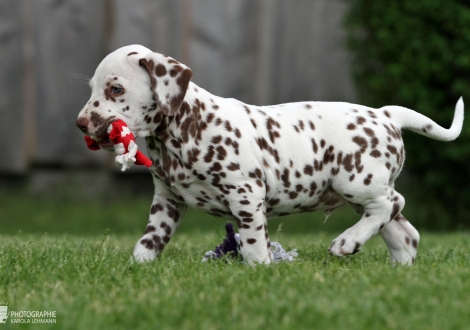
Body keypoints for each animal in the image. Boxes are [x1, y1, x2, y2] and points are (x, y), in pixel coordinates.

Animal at [76, 44, 462, 266]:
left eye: (115, 89)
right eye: (93, 88)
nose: (81, 124)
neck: (188, 126)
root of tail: (385, 114)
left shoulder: (245, 193)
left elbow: (252, 241)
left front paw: (259, 269)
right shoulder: (167, 199)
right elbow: (150, 238)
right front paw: (138, 266)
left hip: (356, 181)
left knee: (390, 203)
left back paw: (346, 242)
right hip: (360, 195)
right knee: (403, 228)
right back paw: (398, 265)